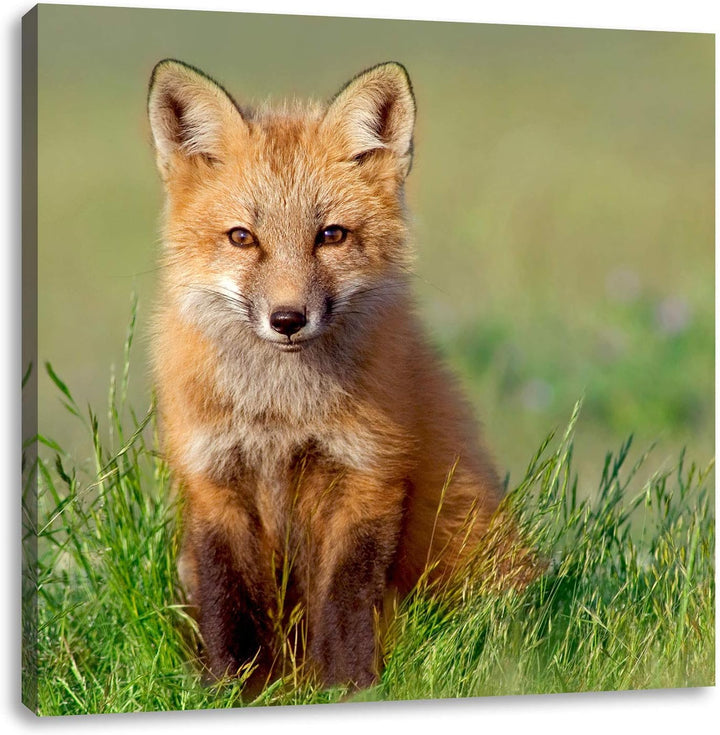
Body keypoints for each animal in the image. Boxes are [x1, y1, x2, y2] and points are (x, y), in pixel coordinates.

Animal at [147, 58, 531, 692]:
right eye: (242, 237)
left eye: (330, 235)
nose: (287, 319)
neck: (280, 415)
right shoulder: (213, 481)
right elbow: (228, 605)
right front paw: (232, 690)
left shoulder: (368, 475)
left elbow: (345, 603)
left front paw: (347, 689)